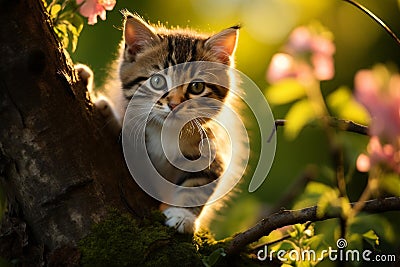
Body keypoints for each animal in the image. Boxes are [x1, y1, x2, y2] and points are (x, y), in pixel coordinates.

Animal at [77, 12, 245, 234]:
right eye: (157, 81)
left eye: (197, 87)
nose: (174, 104)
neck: (164, 132)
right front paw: (90, 89)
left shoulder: (212, 151)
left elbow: (198, 187)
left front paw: (183, 216)